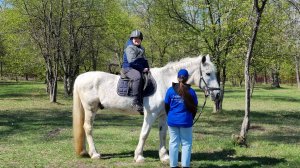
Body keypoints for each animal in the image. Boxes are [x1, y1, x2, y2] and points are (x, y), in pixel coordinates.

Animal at [71, 55, 219, 163]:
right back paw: (95, 154)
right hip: (90, 109)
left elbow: (162, 134)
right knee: (88, 128)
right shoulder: (150, 114)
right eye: (208, 73)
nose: (217, 94)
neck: (164, 82)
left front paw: (164, 157)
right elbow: (144, 134)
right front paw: (139, 156)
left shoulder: (163, 115)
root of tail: (80, 77)